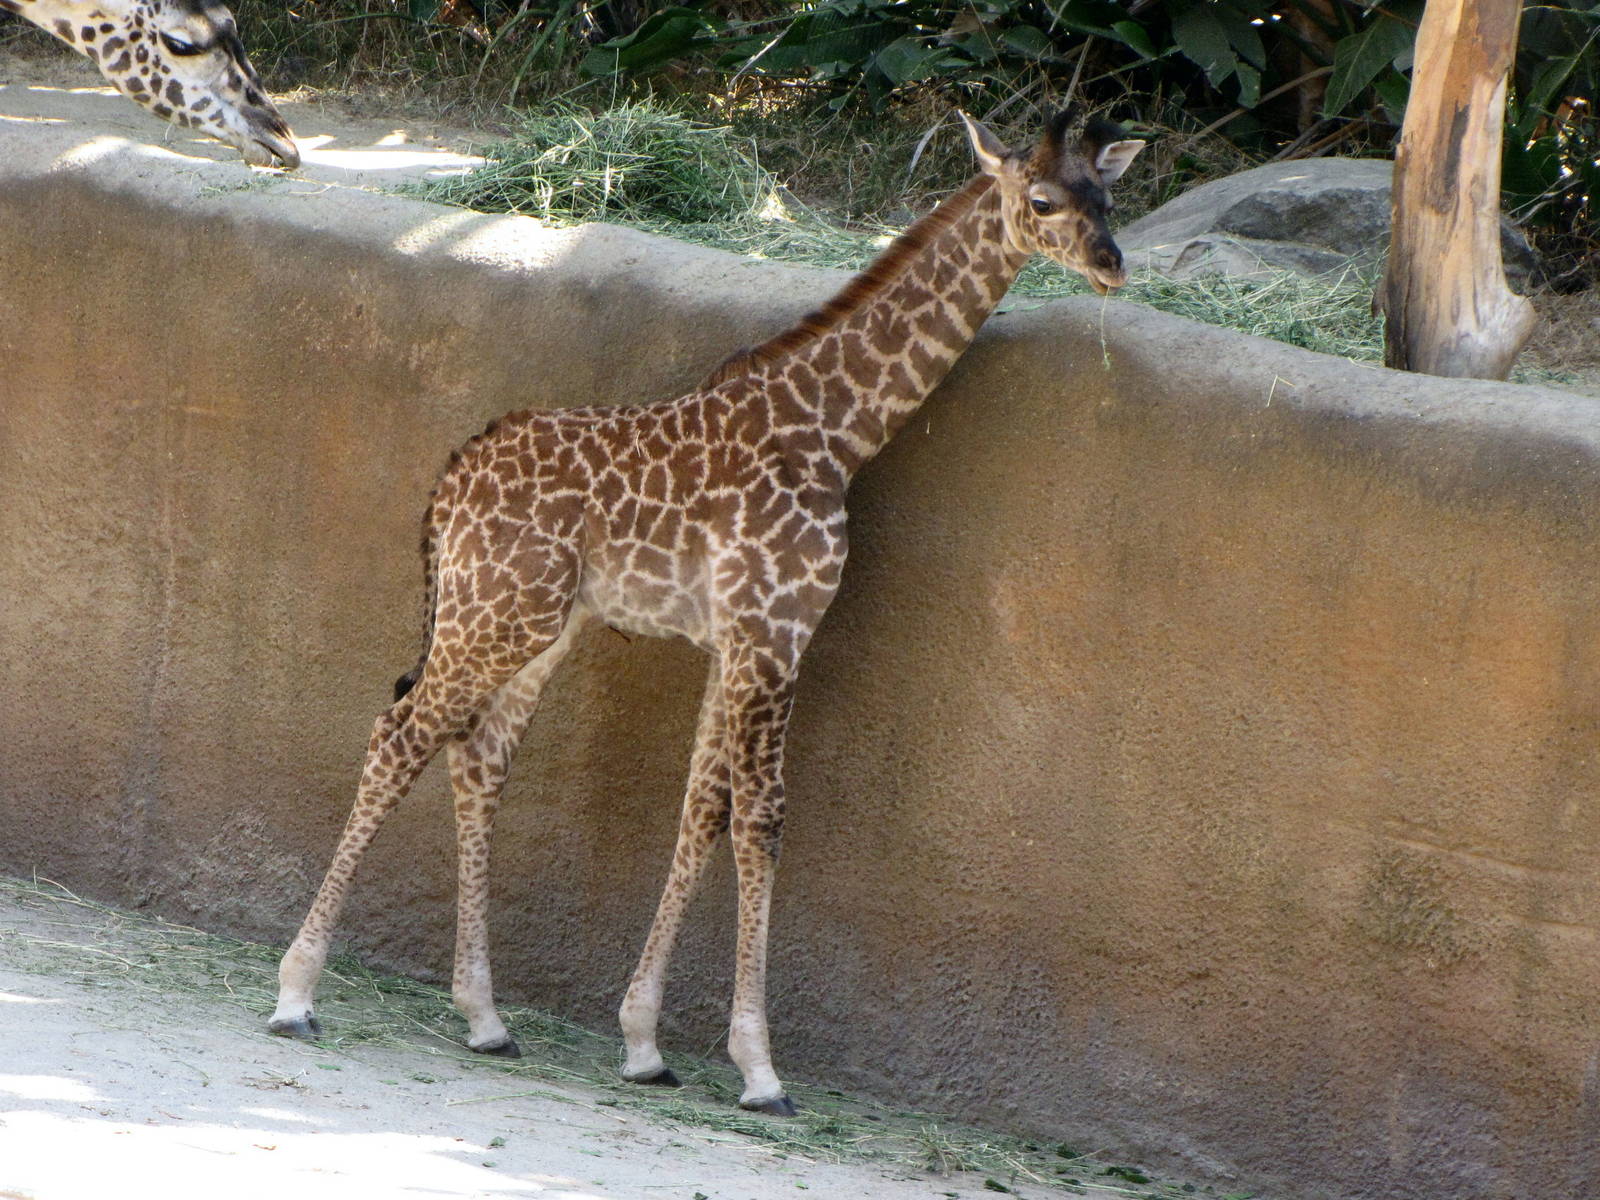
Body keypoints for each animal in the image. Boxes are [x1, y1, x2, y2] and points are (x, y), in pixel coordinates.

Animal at [269, 108, 1144, 1115]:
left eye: (1106, 194)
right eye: (1041, 201)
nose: (1113, 262)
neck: (836, 434)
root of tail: (448, 482)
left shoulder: (735, 643)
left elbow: (703, 809)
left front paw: (644, 1041)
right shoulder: (775, 632)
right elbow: (762, 819)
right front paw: (760, 1068)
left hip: (537, 627)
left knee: (478, 758)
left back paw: (486, 1018)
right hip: (499, 612)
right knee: (400, 733)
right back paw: (297, 992)